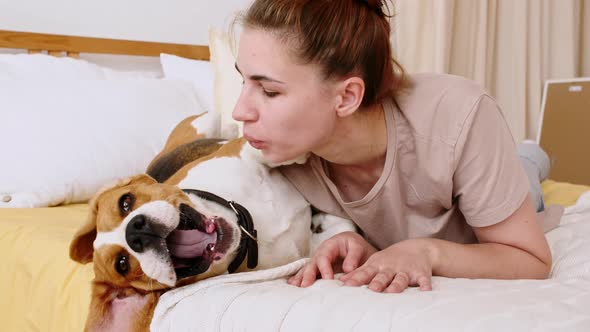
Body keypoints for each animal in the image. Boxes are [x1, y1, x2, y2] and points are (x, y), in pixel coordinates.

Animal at [69, 113, 356, 330]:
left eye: (125, 203)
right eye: (122, 264)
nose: (136, 232)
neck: (247, 227)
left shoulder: (240, 150)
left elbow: (260, 147)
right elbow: (339, 234)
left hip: (206, 120)